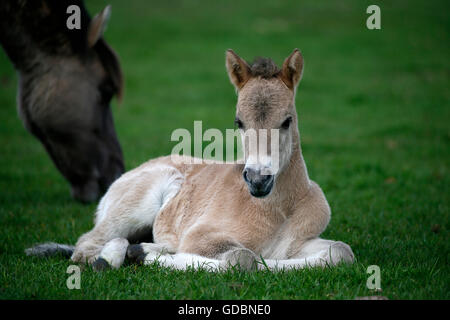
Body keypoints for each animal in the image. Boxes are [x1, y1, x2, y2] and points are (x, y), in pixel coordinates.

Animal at [28, 49, 356, 270]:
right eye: (238, 122)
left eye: (287, 121)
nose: (258, 180)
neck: (277, 211)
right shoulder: (201, 237)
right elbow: (244, 258)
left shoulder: (300, 242)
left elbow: (342, 252)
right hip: (135, 205)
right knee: (86, 246)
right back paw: (114, 258)